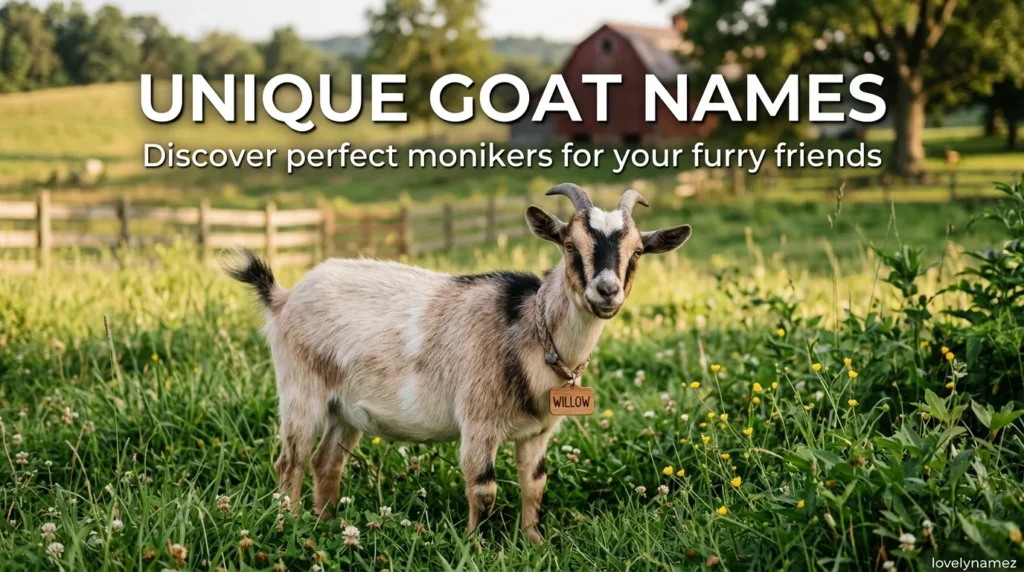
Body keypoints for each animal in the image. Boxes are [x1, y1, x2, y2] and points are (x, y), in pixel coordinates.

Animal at [228, 184, 691, 543]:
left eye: (637, 253)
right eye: (570, 246)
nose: (607, 291)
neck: (527, 328)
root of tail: (284, 297)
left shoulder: (539, 431)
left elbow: (535, 483)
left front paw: (535, 542)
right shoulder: (478, 419)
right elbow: (482, 487)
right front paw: (476, 545)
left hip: (345, 409)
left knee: (326, 462)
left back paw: (326, 523)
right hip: (301, 390)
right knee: (290, 461)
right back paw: (288, 524)